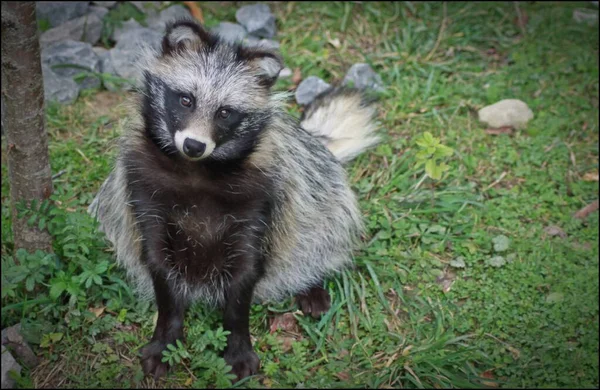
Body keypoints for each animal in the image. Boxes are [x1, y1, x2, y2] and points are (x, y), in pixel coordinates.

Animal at [89, 19, 380, 380]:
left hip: (322, 195)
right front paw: (165, 339)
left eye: (225, 112)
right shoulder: (143, 186)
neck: (196, 172)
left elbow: (246, 272)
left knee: (319, 232)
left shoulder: (259, 196)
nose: (194, 145)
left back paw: (313, 283)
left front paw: (238, 346)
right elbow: (158, 262)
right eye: (185, 99)